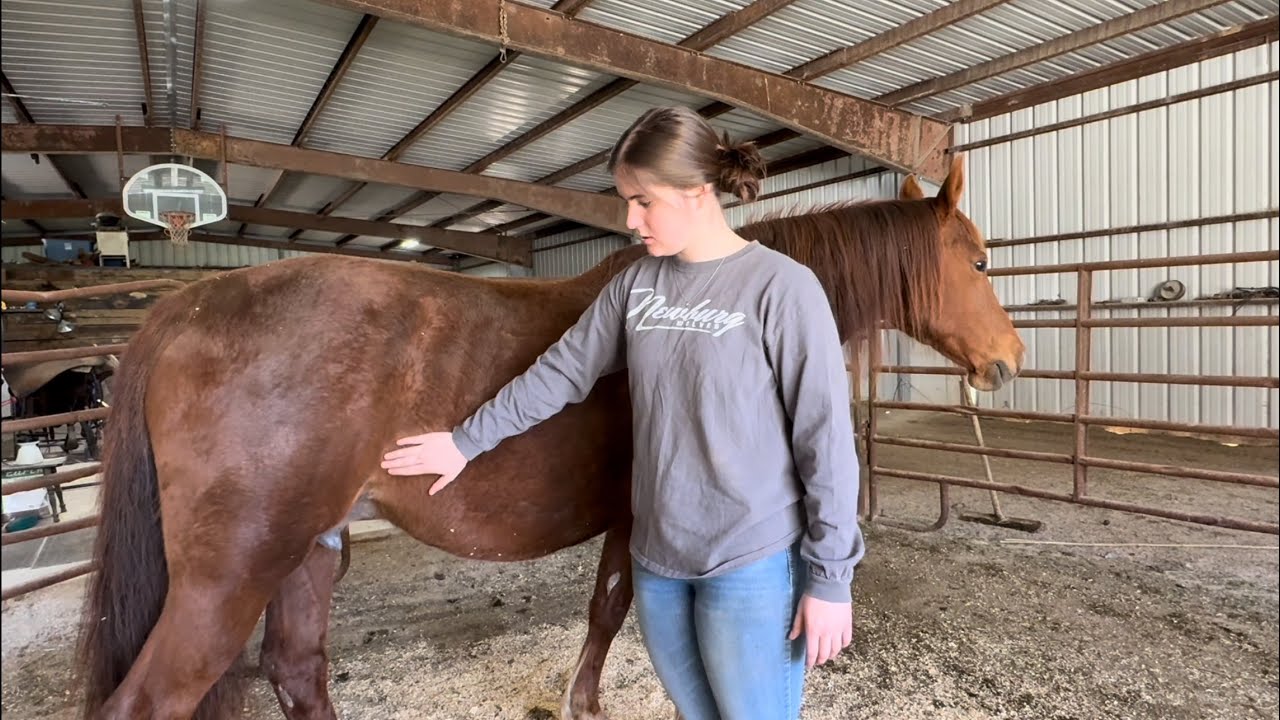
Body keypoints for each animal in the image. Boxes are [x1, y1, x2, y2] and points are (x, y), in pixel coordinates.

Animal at [78, 154, 1024, 720]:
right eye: (979, 261)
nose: (1009, 360)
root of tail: (186, 307)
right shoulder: (638, 522)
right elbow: (611, 609)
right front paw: (586, 703)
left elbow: (606, 610)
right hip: (229, 577)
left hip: (310, 548)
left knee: (297, 669)